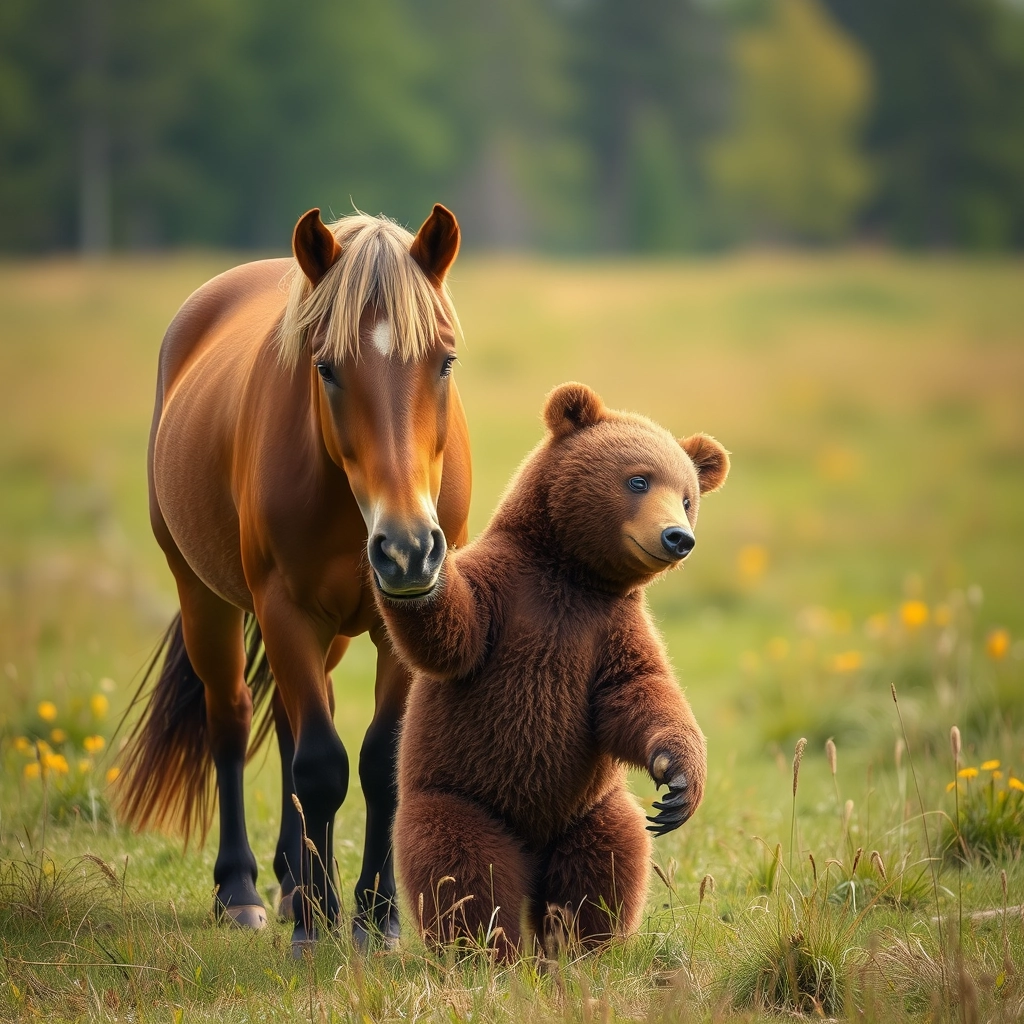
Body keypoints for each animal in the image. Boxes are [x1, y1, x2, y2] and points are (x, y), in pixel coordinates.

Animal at [117, 203, 471, 954]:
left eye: (445, 360)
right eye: (328, 368)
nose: (405, 550)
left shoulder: (403, 621)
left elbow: (377, 761)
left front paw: (376, 917)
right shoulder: (284, 608)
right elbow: (320, 765)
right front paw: (315, 923)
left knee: (291, 719)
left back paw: (293, 882)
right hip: (209, 601)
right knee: (233, 719)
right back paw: (245, 891)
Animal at [374, 385, 729, 958]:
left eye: (688, 497)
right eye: (638, 479)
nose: (678, 537)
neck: (570, 572)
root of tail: (534, 845)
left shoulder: (609, 629)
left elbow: (638, 693)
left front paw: (678, 784)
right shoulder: (508, 597)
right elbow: (452, 640)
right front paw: (412, 566)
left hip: (588, 809)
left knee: (604, 865)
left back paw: (579, 950)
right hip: (462, 795)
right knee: (464, 871)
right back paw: (485, 954)